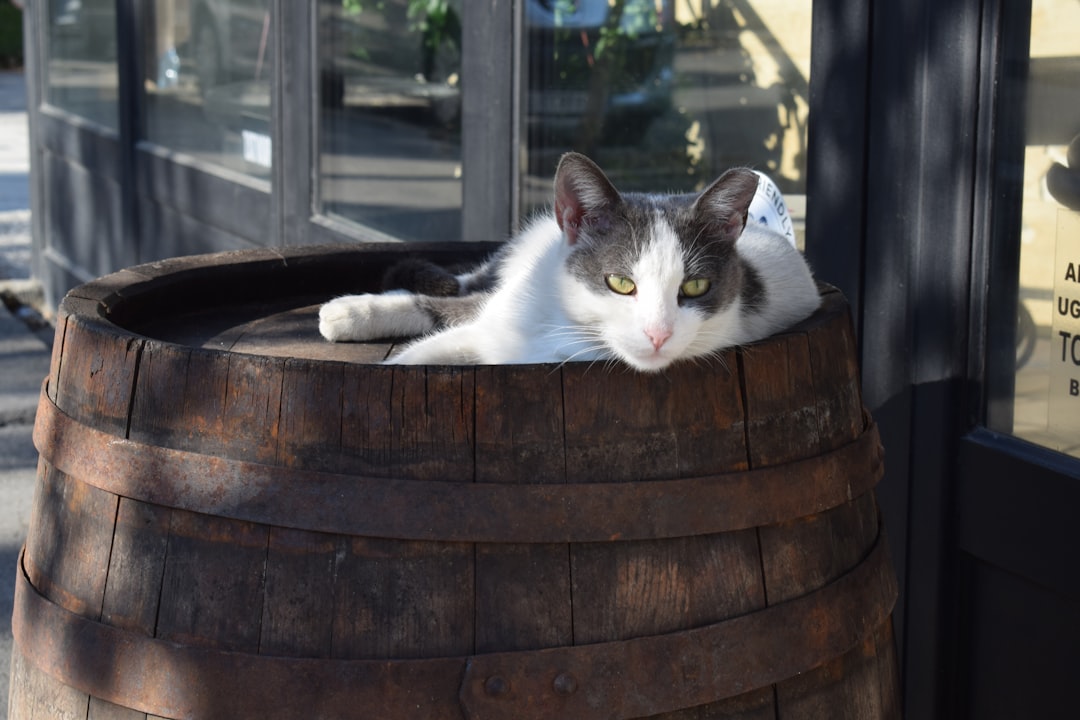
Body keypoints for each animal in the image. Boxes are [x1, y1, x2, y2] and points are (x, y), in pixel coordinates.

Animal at [317, 154, 816, 375]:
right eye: (620, 282)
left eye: (695, 288)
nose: (658, 335)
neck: (566, 325)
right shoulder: (497, 321)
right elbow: (422, 349)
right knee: (463, 289)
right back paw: (349, 311)